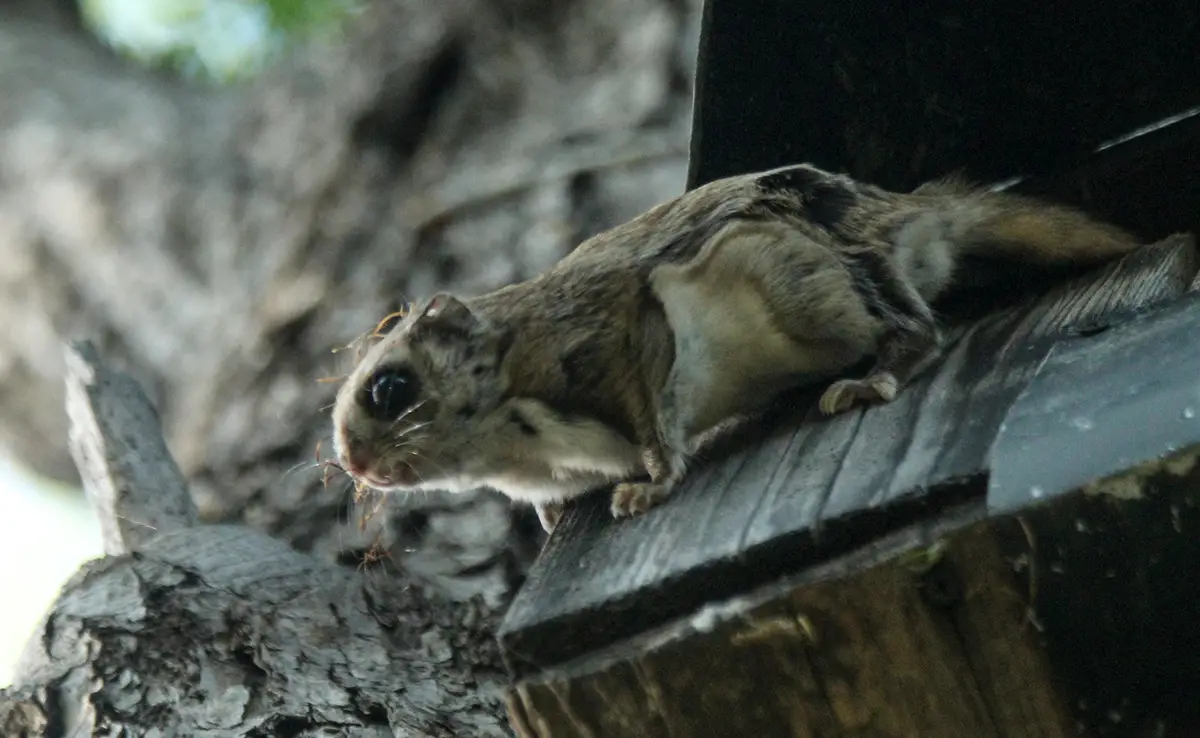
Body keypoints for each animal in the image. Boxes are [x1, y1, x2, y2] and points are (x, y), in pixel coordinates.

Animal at [331, 163, 1142, 530]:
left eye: (389, 387)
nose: (353, 464)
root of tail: (904, 218)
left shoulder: (605, 336)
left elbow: (651, 417)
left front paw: (651, 485)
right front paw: (552, 520)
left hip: (808, 279)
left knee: (915, 329)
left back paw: (875, 376)